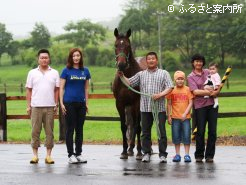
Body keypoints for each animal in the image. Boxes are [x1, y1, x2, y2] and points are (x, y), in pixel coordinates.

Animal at [113, 28, 146, 160]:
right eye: (116, 45)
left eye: (127, 45)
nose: (121, 64)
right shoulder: (120, 104)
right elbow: (124, 126)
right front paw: (124, 151)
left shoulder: (137, 104)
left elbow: (138, 127)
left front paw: (139, 152)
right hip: (129, 107)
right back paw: (130, 149)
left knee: (139, 126)